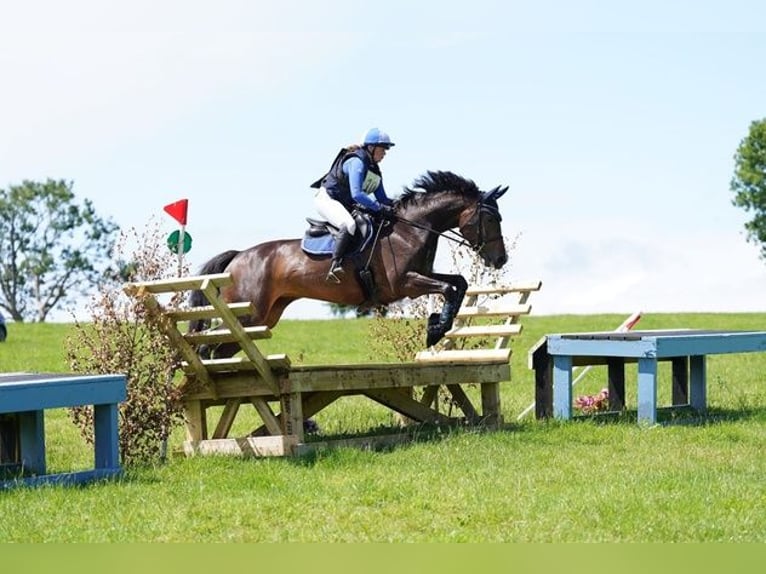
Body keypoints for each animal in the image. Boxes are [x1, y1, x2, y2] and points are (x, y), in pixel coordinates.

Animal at [188, 171, 510, 358]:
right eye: (490, 218)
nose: (500, 259)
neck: (411, 229)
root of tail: (239, 256)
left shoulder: (422, 274)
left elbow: (458, 284)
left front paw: (437, 326)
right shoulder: (405, 283)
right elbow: (447, 287)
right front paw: (436, 328)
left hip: (263, 317)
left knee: (220, 350)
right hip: (248, 315)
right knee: (207, 346)